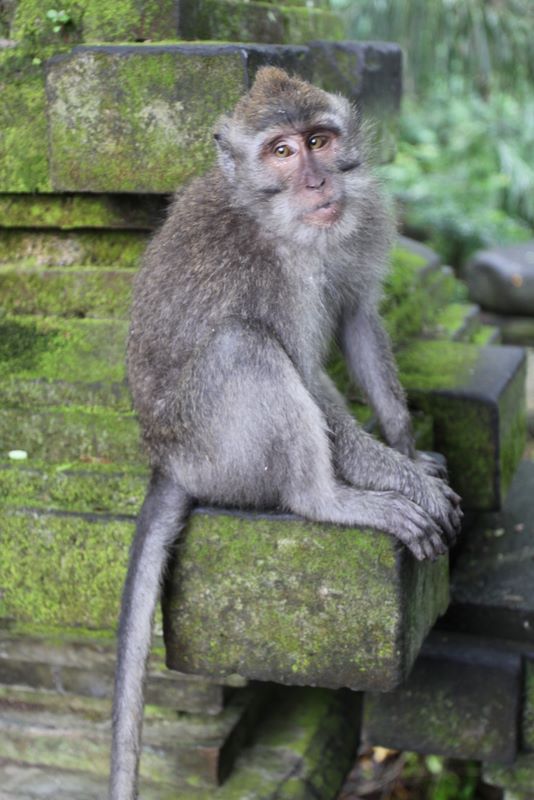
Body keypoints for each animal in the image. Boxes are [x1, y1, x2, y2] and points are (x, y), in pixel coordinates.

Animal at [109, 67, 462, 799]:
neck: (279, 221)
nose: (318, 183)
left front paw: (406, 448)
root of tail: (168, 462)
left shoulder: (360, 223)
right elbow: (303, 369)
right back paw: (328, 500)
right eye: (281, 152)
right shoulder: (274, 272)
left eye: (320, 140)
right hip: (218, 454)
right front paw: (400, 478)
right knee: (248, 348)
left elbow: (357, 316)